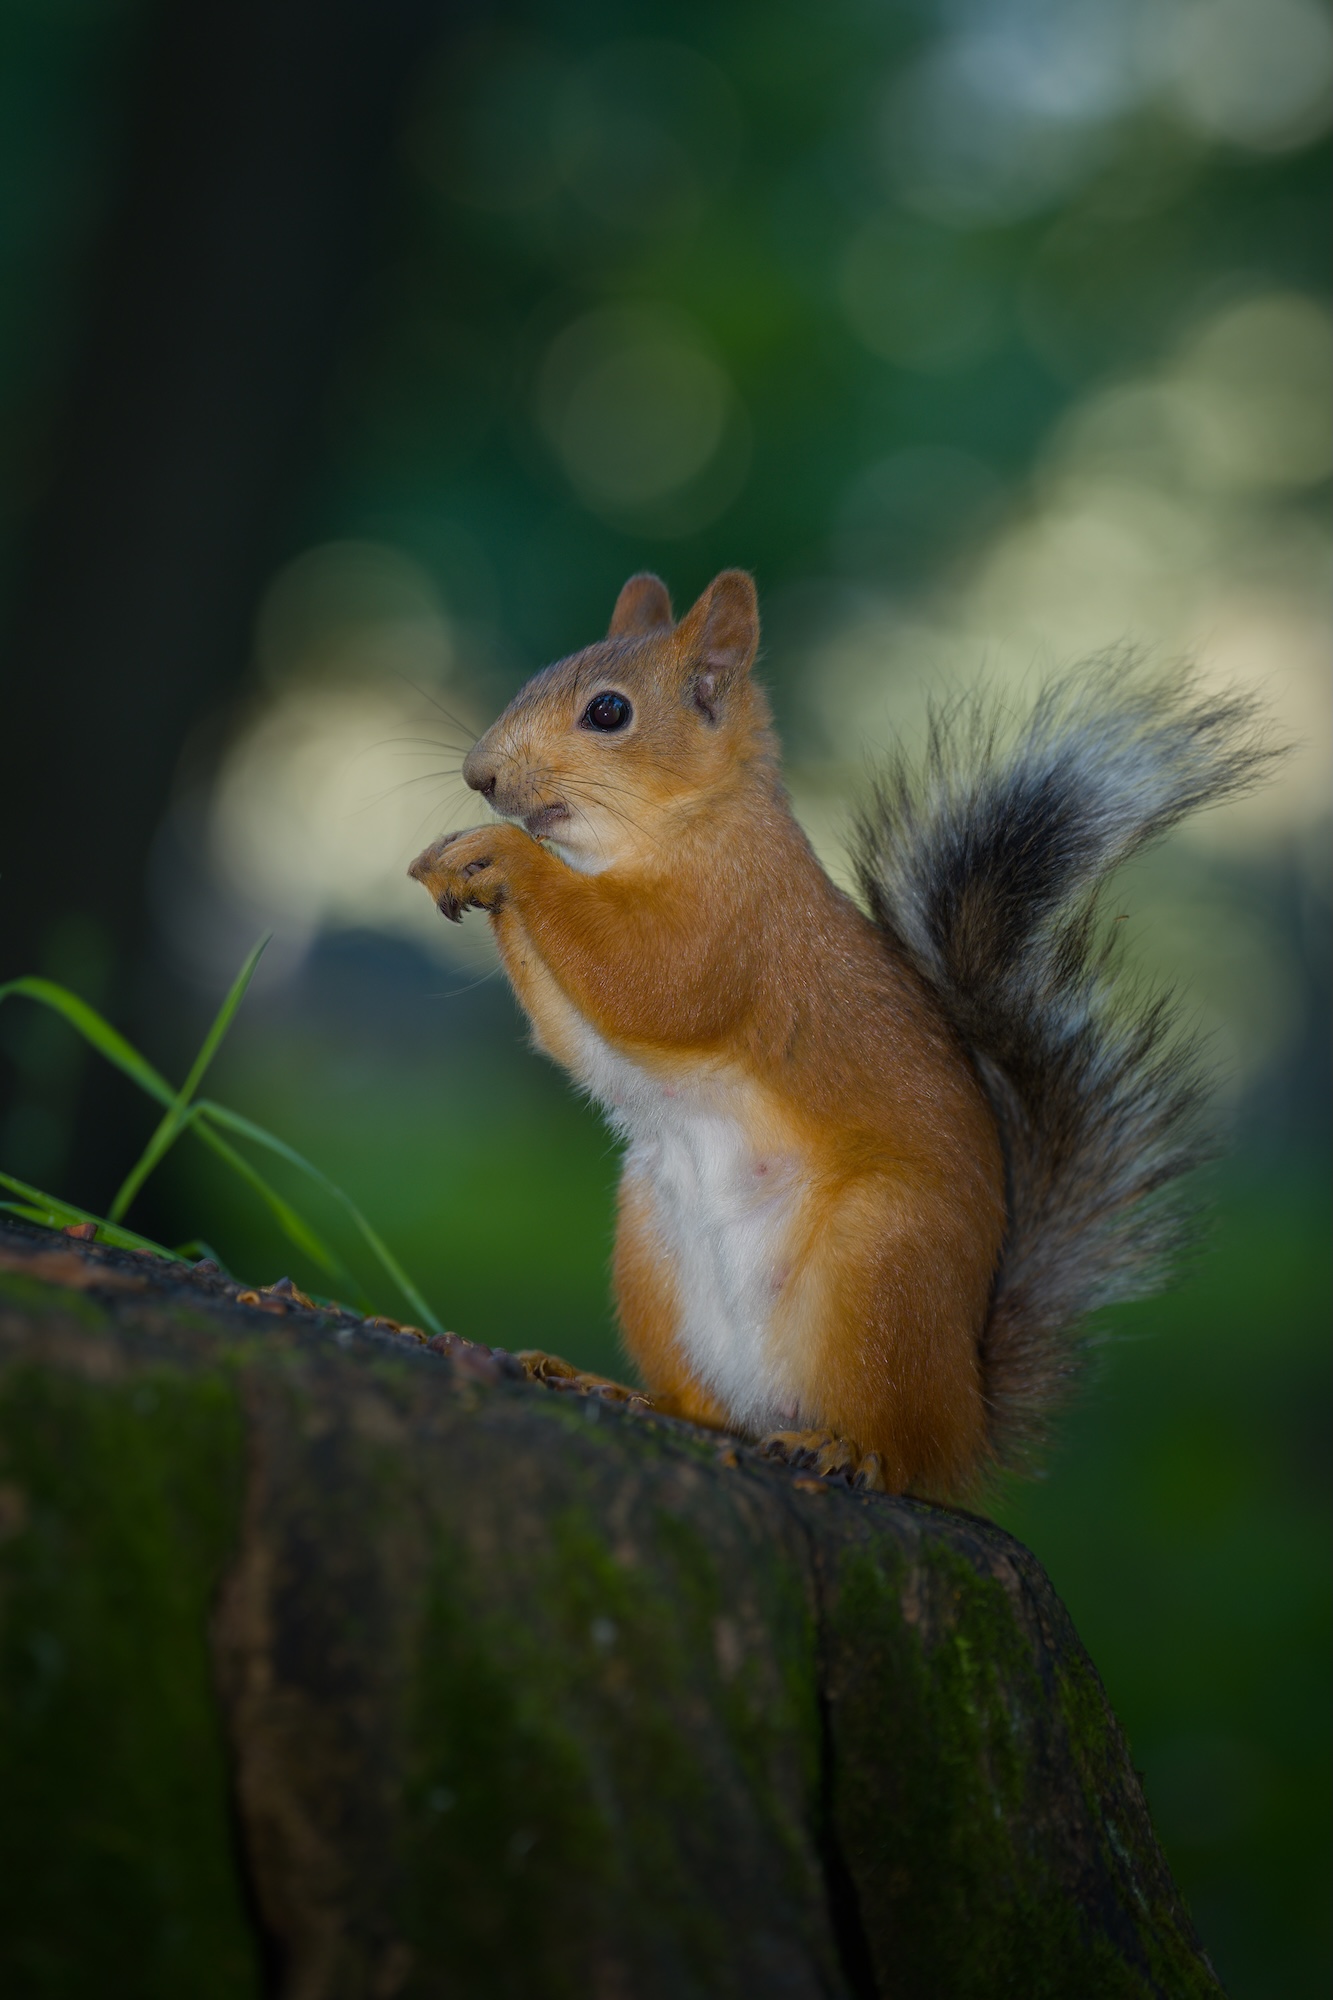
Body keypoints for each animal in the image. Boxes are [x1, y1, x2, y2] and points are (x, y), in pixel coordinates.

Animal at [408, 569, 1274, 1498]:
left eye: (608, 712)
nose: (479, 775)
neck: (670, 829)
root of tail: (967, 1418)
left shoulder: (735, 927)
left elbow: (650, 984)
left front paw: (503, 855)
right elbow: (572, 1032)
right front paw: (449, 864)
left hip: (880, 1264)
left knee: (896, 1447)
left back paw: (847, 1451)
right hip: (650, 1242)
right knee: (709, 1411)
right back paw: (620, 1390)